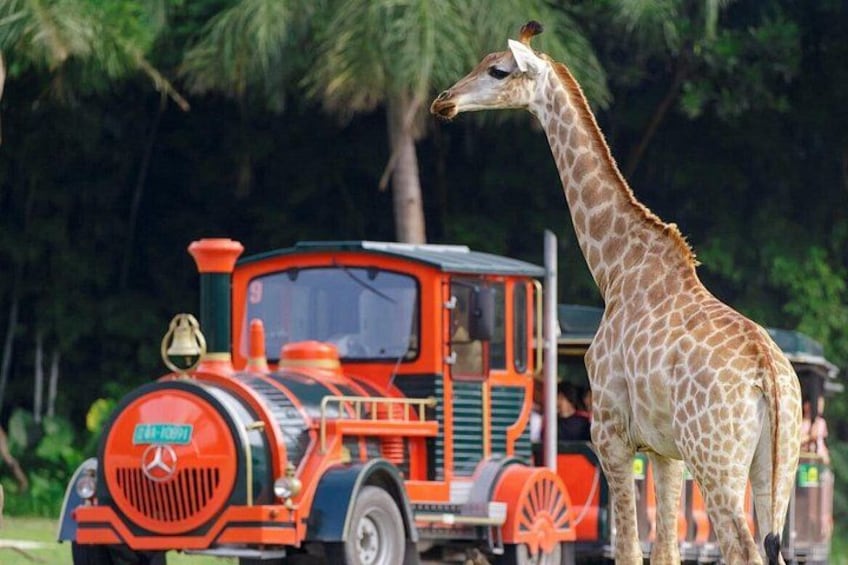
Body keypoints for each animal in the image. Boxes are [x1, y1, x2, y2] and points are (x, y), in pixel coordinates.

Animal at [431, 21, 802, 565]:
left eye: (497, 70)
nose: (444, 101)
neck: (616, 268)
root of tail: (768, 377)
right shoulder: (666, 451)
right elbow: (665, 550)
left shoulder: (609, 432)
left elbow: (628, 548)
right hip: (776, 463)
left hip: (716, 458)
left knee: (741, 546)